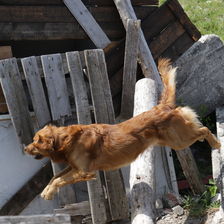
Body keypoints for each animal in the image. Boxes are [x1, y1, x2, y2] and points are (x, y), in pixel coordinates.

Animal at [25, 58, 220, 201]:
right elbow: (55, 177)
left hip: (178, 141)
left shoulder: (83, 171)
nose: (25, 148)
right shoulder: (74, 167)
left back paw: (216, 143)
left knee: (204, 129)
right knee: (197, 130)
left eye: (35, 141)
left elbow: (59, 180)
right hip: (175, 140)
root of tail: (162, 106)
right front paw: (46, 190)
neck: (66, 139)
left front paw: (49, 193)